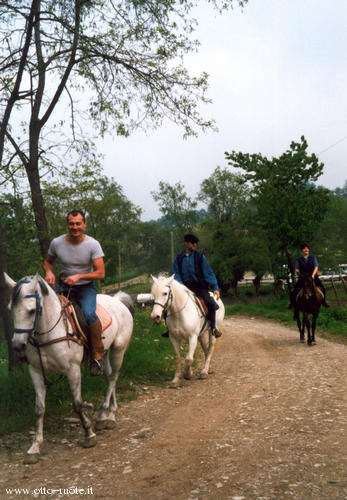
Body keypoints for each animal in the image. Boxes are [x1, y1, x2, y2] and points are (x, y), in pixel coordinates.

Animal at [4, 274, 135, 464]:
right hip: (103, 354)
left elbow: (77, 404)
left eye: (31, 310)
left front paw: (88, 434)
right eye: (11, 309)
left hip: (119, 349)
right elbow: (39, 409)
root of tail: (117, 300)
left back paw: (105, 415)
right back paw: (108, 415)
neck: (49, 332)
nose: (17, 345)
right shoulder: (36, 372)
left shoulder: (72, 370)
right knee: (110, 376)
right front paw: (34, 447)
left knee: (113, 378)